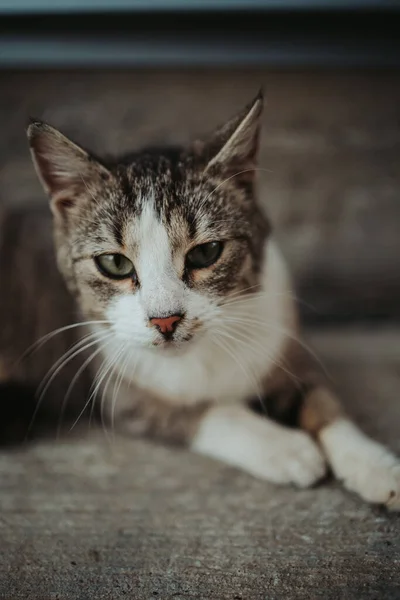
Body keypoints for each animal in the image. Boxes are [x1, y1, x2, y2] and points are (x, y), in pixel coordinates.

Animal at [26, 91, 398, 508]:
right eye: (114, 263)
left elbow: (324, 402)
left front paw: (374, 465)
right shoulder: (117, 389)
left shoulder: (287, 347)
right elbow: (202, 412)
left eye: (206, 253)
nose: (165, 320)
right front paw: (285, 448)